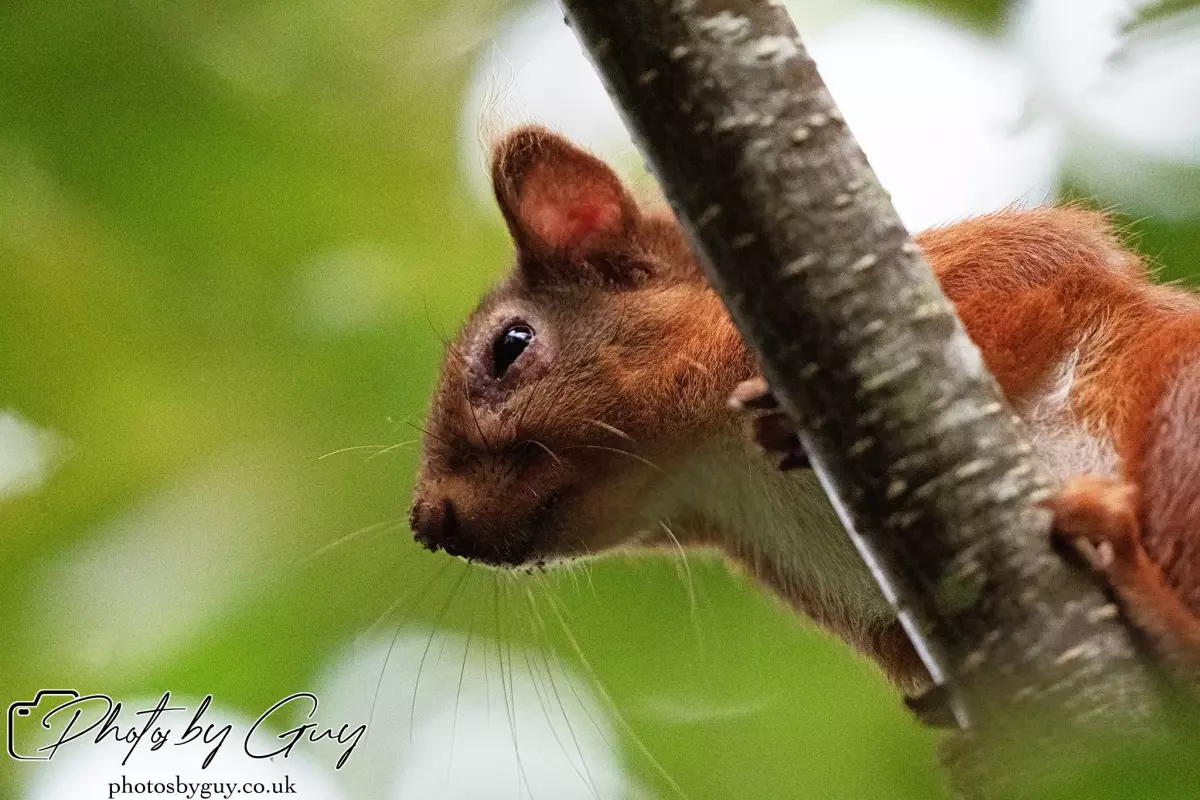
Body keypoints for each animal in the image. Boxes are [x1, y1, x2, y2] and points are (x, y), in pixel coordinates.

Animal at [409, 125, 1200, 698]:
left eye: (510, 345)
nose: (429, 520)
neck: (713, 469)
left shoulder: (977, 266)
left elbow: (1033, 272)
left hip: (1178, 413)